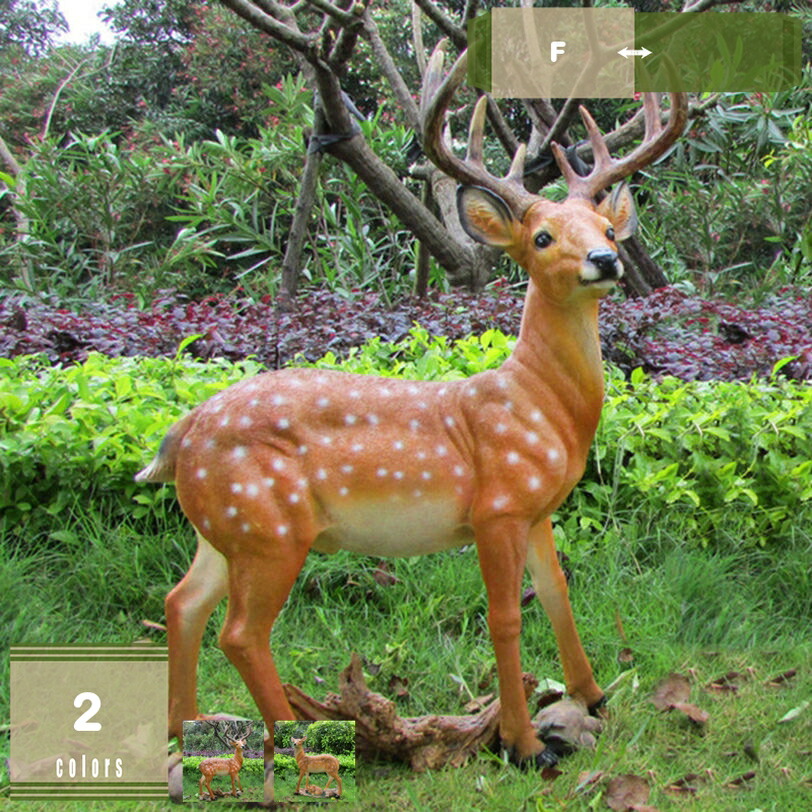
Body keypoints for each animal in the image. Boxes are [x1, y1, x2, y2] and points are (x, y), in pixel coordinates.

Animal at [136, 48, 686, 769]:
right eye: (541, 237)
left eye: (604, 227)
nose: (605, 258)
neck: (540, 405)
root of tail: (181, 434)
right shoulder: (497, 506)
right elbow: (505, 617)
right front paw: (523, 743)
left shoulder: (538, 508)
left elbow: (559, 594)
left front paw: (594, 698)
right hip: (270, 527)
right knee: (241, 633)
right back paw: (304, 747)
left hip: (224, 525)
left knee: (182, 602)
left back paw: (183, 732)